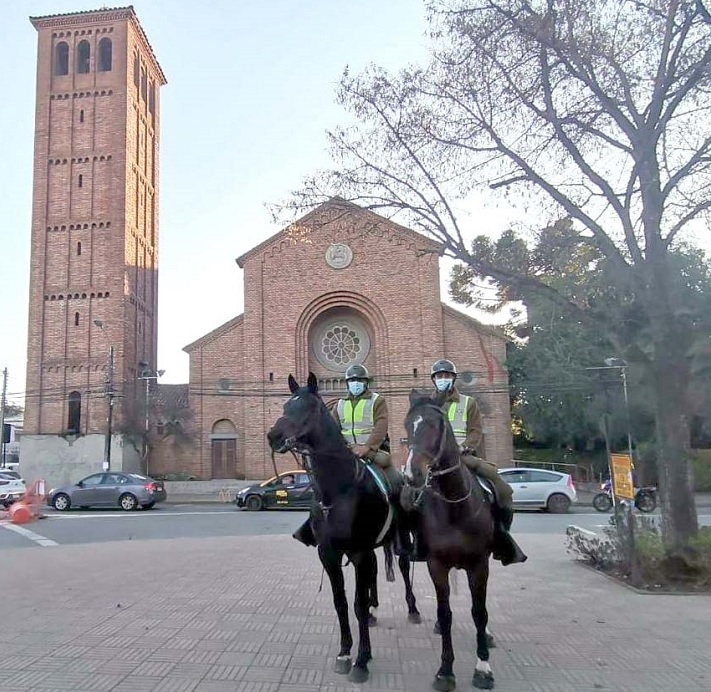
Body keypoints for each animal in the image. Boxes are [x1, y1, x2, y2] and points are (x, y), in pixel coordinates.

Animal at [270, 374, 420, 680]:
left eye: (310, 408)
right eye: (285, 405)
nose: (273, 436)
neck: (338, 490)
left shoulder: (359, 552)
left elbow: (357, 605)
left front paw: (362, 660)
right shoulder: (329, 554)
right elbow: (340, 602)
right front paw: (344, 652)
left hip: (401, 539)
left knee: (403, 566)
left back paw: (412, 608)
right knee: (375, 572)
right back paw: (375, 608)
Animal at [404, 392, 498, 688]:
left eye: (437, 425)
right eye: (407, 426)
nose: (411, 475)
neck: (455, 504)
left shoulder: (479, 564)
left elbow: (479, 612)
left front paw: (483, 667)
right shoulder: (436, 565)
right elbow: (445, 615)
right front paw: (445, 670)